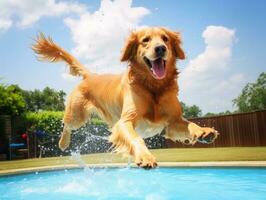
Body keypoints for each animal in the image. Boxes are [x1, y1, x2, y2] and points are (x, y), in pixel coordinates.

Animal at [32, 27, 218, 169]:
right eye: (145, 40)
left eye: (165, 39)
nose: (160, 48)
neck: (153, 87)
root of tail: (91, 75)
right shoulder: (124, 121)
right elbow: (136, 139)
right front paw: (145, 157)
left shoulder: (172, 122)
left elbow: (190, 124)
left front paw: (204, 131)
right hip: (77, 116)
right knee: (67, 125)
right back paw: (63, 143)